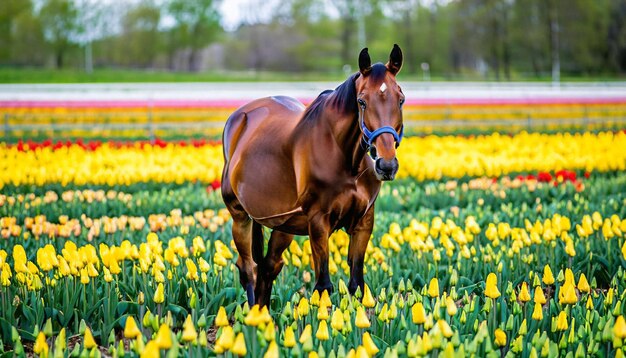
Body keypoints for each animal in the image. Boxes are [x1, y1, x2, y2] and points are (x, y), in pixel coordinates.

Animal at [221, 44, 404, 308]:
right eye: (361, 101)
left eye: (400, 99)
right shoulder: (318, 222)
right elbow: (323, 286)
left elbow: (357, 285)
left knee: (268, 267)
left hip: (283, 225)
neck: (347, 160)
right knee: (248, 269)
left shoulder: (363, 222)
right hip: (240, 216)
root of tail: (240, 117)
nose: (386, 164)